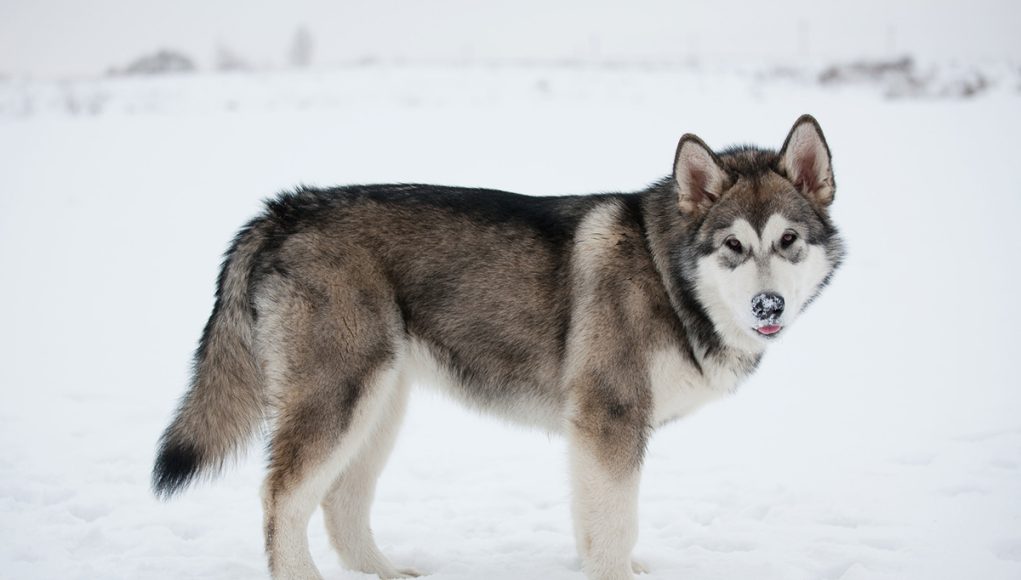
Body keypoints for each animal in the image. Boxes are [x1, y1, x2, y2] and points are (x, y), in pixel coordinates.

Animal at [149, 114, 837, 580]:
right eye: (734, 246)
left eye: (788, 241)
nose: (768, 306)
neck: (667, 275)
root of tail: (285, 209)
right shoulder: (610, 419)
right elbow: (617, 523)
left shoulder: (595, 433)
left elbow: (595, 523)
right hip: (338, 397)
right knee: (282, 499)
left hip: (379, 404)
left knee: (341, 503)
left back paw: (386, 574)